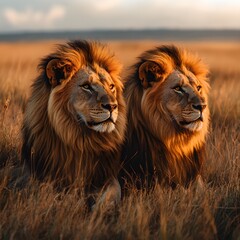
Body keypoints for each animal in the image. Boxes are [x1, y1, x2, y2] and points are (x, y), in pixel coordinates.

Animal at [21, 39, 126, 206]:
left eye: (111, 87)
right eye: (86, 86)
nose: (112, 106)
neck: (80, 139)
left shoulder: (107, 176)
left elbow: (113, 192)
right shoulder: (38, 176)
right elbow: (46, 192)